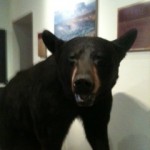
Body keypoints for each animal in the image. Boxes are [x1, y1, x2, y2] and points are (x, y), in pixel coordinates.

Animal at [0, 28, 137, 149]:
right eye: (72, 57)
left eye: (99, 58)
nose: (82, 83)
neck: (70, 100)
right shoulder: (47, 111)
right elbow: (49, 137)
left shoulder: (100, 106)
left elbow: (98, 136)